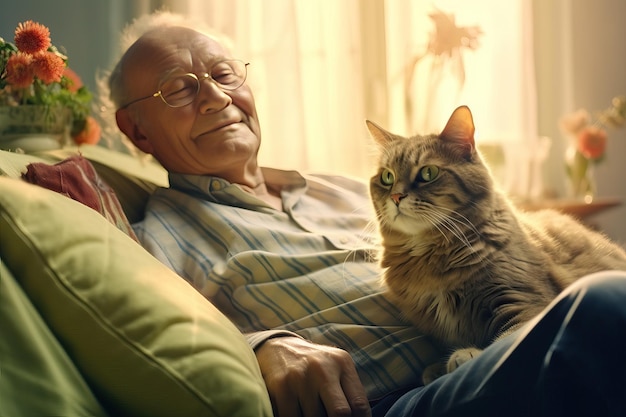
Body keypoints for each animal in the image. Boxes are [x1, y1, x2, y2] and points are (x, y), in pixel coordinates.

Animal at [364, 105, 624, 384]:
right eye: (387, 177)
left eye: (428, 173)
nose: (396, 196)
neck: (430, 256)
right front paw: (436, 369)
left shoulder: (523, 301)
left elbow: (505, 340)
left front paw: (464, 357)